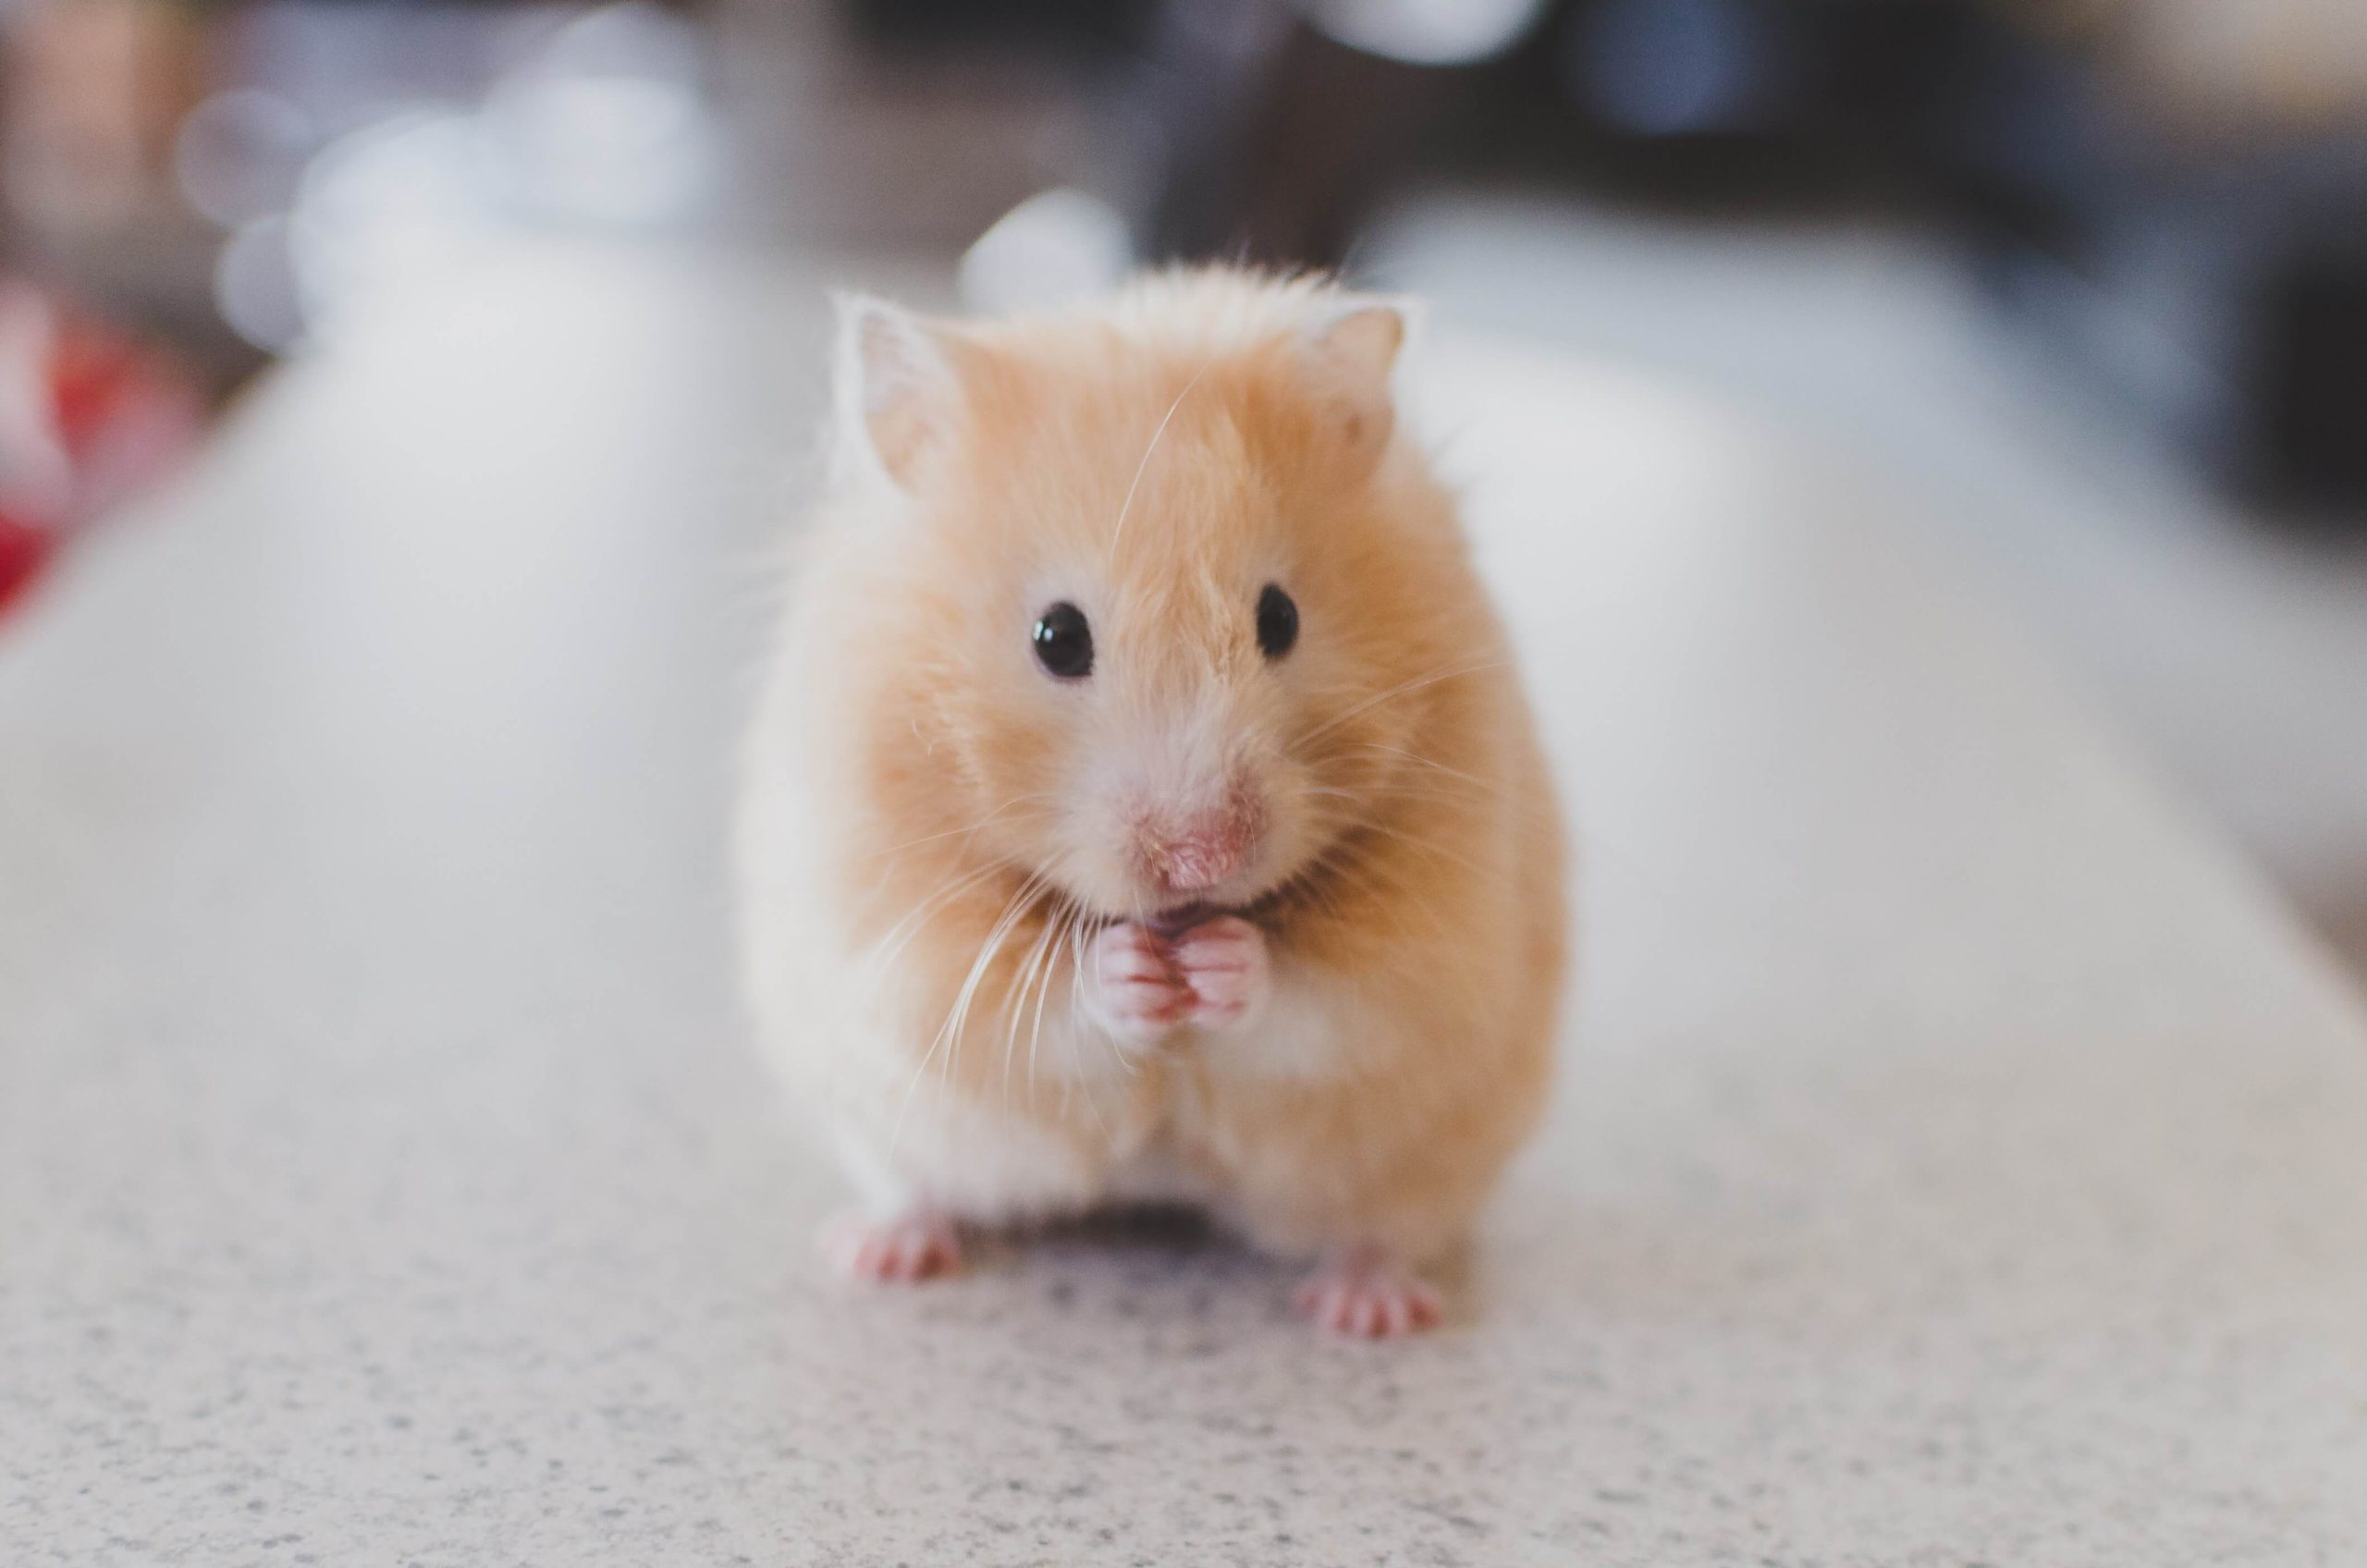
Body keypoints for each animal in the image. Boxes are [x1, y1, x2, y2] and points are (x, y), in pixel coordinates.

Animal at [729, 267, 1562, 1335]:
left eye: (1280, 618)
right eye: (1057, 637)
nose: (1202, 860)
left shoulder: (1436, 942)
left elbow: (1327, 999)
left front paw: (1219, 963)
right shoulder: (897, 934)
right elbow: (1034, 1007)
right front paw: (1132, 971)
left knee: (1383, 1228)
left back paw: (1366, 1311)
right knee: (916, 1186)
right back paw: (879, 1251)